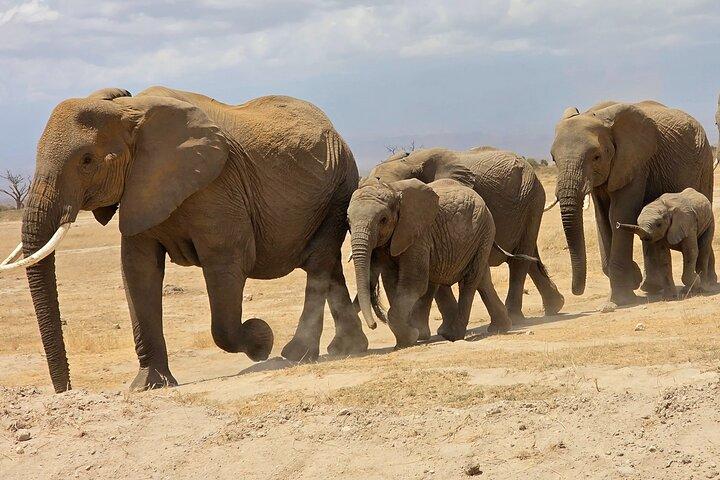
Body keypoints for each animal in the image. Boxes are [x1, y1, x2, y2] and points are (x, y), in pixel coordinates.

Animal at [0, 86, 368, 393]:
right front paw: (149, 385)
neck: (130, 112)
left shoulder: (217, 188)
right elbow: (137, 270)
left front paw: (261, 340)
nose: (65, 390)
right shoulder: (141, 189)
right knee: (328, 263)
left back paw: (295, 354)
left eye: (87, 161)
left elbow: (227, 262)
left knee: (318, 264)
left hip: (339, 186)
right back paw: (346, 349)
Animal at [348, 178, 510, 347]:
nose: (373, 325)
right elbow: (391, 283)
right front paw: (408, 338)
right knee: (482, 279)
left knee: (469, 281)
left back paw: (454, 335)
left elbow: (414, 283)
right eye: (348, 221)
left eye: (383, 220)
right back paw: (500, 328)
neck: (392, 188)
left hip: (484, 231)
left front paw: (411, 336)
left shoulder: (417, 234)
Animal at [365, 147, 564, 328]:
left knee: (519, 260)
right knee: (528, 255)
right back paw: (555, 306)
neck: (410, 161)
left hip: (532, 197)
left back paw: (515, 318)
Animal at [551, 100, 715, 311]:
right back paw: (652, 287)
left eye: (596, 157)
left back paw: (708, 283)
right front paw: (633, 280)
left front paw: (620, 300)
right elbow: (602, 219)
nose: (574, 291)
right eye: (553, 159)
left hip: (705, 162)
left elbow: (619, 215)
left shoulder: (634, 163)